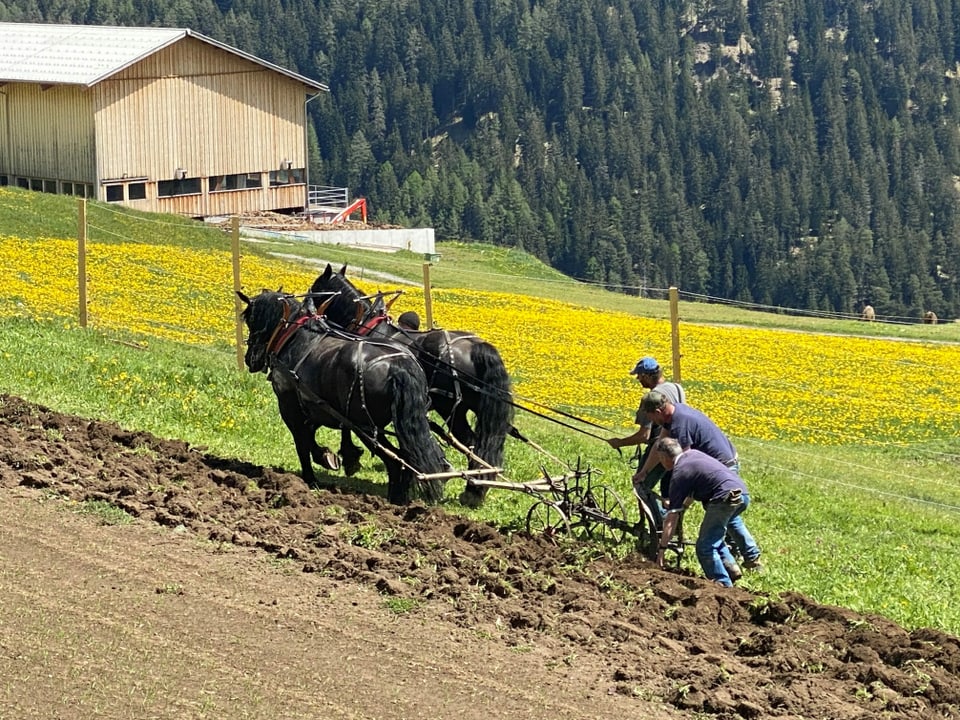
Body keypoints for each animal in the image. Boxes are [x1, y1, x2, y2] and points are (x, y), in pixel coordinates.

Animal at [240, 288, 450, 506]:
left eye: (250, 319)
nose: (250, 359)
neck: (294, 335)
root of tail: (399, 365)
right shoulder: (318, 406)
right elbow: (311, 435)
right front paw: (328, 457)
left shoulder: (290, 406)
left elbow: (302, 442)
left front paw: (311, 477)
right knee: (410, 458)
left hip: (367, 427)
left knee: (396, 461)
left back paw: (394, 501)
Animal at [312, 264, 512, 506]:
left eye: (316, 288)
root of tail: (477, 347)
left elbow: (349, 422)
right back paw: (477, 487)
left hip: (452, 409)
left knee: (472, 443)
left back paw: (472, 490)